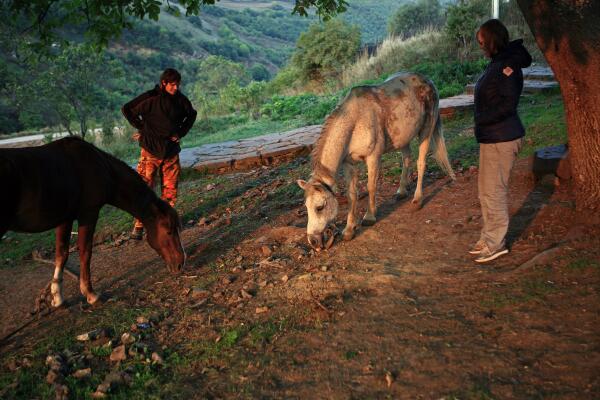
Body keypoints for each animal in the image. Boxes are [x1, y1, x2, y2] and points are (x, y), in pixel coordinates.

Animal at [0, 137, 185, 306]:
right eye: (169, 231)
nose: (180, 264)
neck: (102, 168)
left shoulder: (65, 218)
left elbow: (62, 254)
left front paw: (57, 297)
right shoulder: (88, 214)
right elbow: (85, 252)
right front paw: (90, 294)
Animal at [298, 70, 458, 248]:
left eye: (319, 207)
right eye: (306, 207)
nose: (313, 241)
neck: (356, 119)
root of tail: (427, 80)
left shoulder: (373, 158)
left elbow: (371, 187)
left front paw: (369, 216)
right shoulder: (349, 164)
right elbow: (352, 194)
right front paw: (349, 230)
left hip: (426, 130)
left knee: (421, 162)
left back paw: (417, 200)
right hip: (403, 137)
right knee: (407, 159)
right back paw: (402, 191)